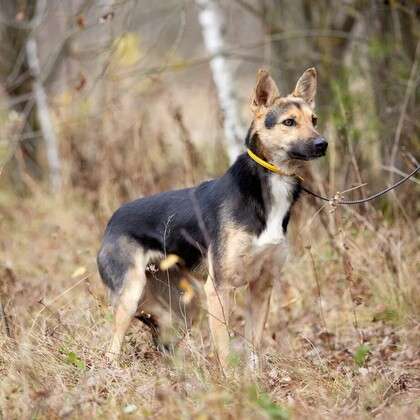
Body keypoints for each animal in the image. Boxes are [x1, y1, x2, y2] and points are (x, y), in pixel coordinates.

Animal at [97, 67, 328, 372]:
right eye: (289, 122)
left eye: (314, 120)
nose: (322, 144)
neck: (269, 188)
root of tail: (112, 221)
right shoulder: (219, 288)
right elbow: (224, 348)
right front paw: (231, 380)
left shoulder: (261, 287)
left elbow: (255, 344)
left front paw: (255, 379)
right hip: (131, 296)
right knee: (111, 349)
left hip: (185, 308)